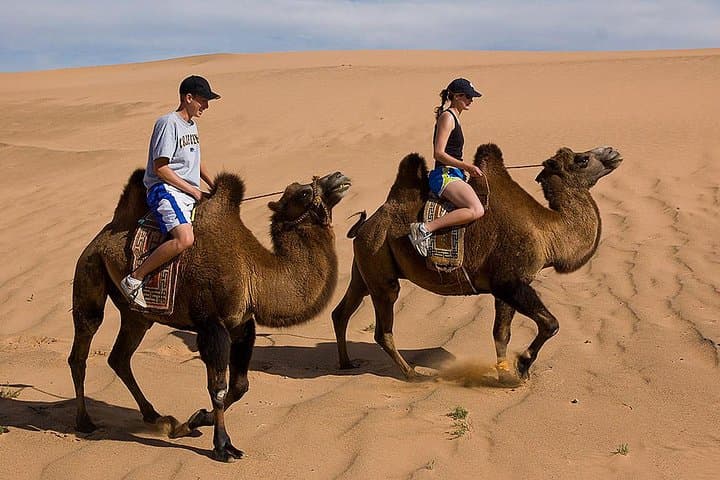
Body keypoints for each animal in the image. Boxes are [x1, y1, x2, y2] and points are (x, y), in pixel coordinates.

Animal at [69, 169, 351, 461]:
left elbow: (240, 386)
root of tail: (102, 236)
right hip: (89, 270)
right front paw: (223, 445)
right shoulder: (210, 325)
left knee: (120, 357)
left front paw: (194, 421)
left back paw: (156, 417)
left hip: (137, 315)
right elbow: (219, 388)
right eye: (304, 192)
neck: (254, 273)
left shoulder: (241, 325)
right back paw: (85, 422)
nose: (338, 176)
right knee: (82, 345)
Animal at [332, 143, 622, 382]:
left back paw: (346, 363)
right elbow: (550, 324)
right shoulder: (509, 281)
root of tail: (366, 226)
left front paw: (505, 374)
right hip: (380, 268)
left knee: (342, 312)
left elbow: (501, 334)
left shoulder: (505, 287)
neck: (547, 232)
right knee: (382, 329)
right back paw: (414, 375)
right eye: (582, 159)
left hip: (365, 266)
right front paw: (521, 366)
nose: (613, 151)